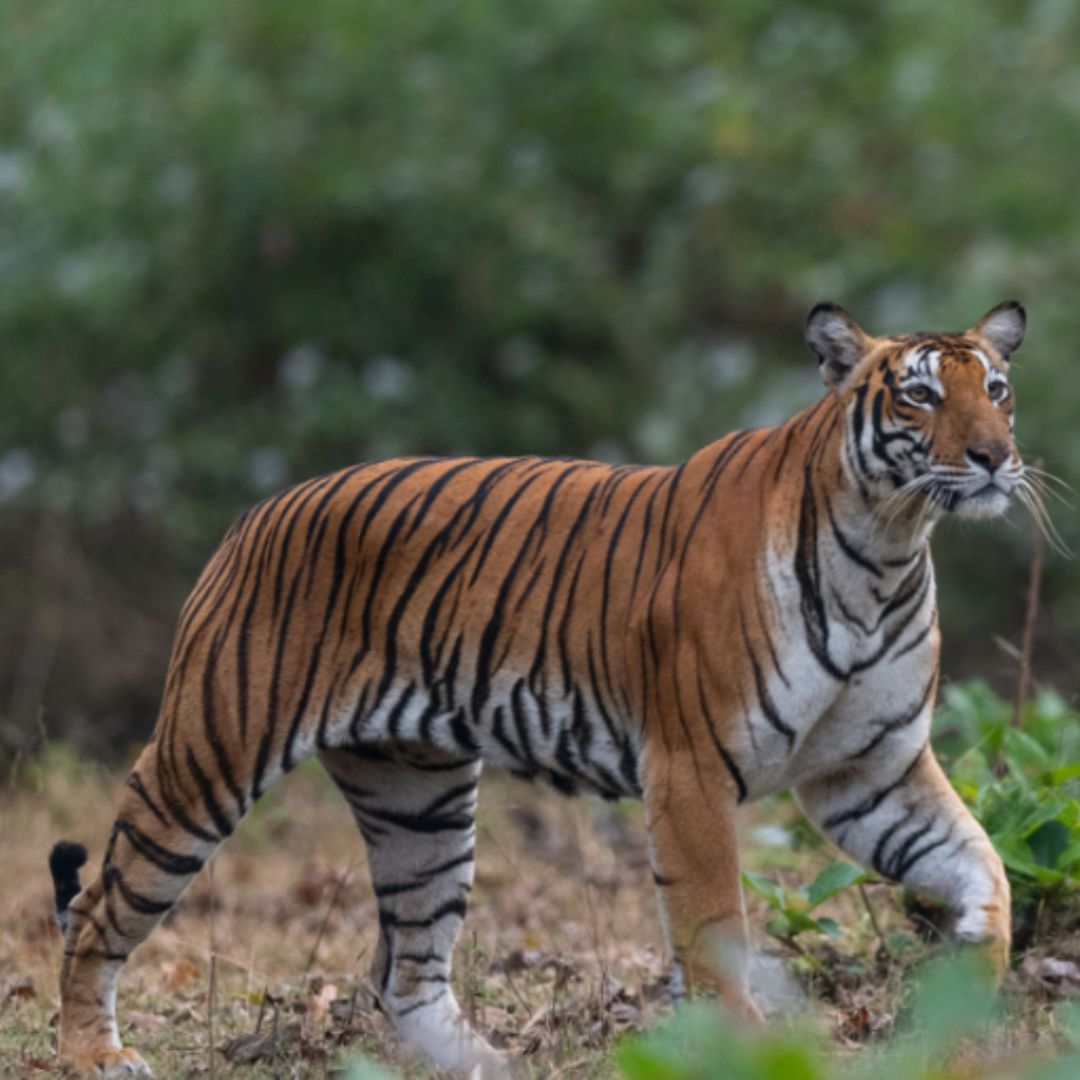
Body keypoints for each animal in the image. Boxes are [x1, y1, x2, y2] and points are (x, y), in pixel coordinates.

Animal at [50, 300, 1028, 1075]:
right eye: (921, 395)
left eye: (998, 389)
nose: (993, 457)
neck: (887, 548)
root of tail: (257, 514)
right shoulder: (691, 770)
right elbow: (714, 929)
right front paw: (743, 1053)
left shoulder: (869, 772)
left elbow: (981, 865)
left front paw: (965, 994)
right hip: (207, 757)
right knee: (97, 909)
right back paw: (95, 1054)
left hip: (420, 804)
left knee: (403, 970)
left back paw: (491, 1066)